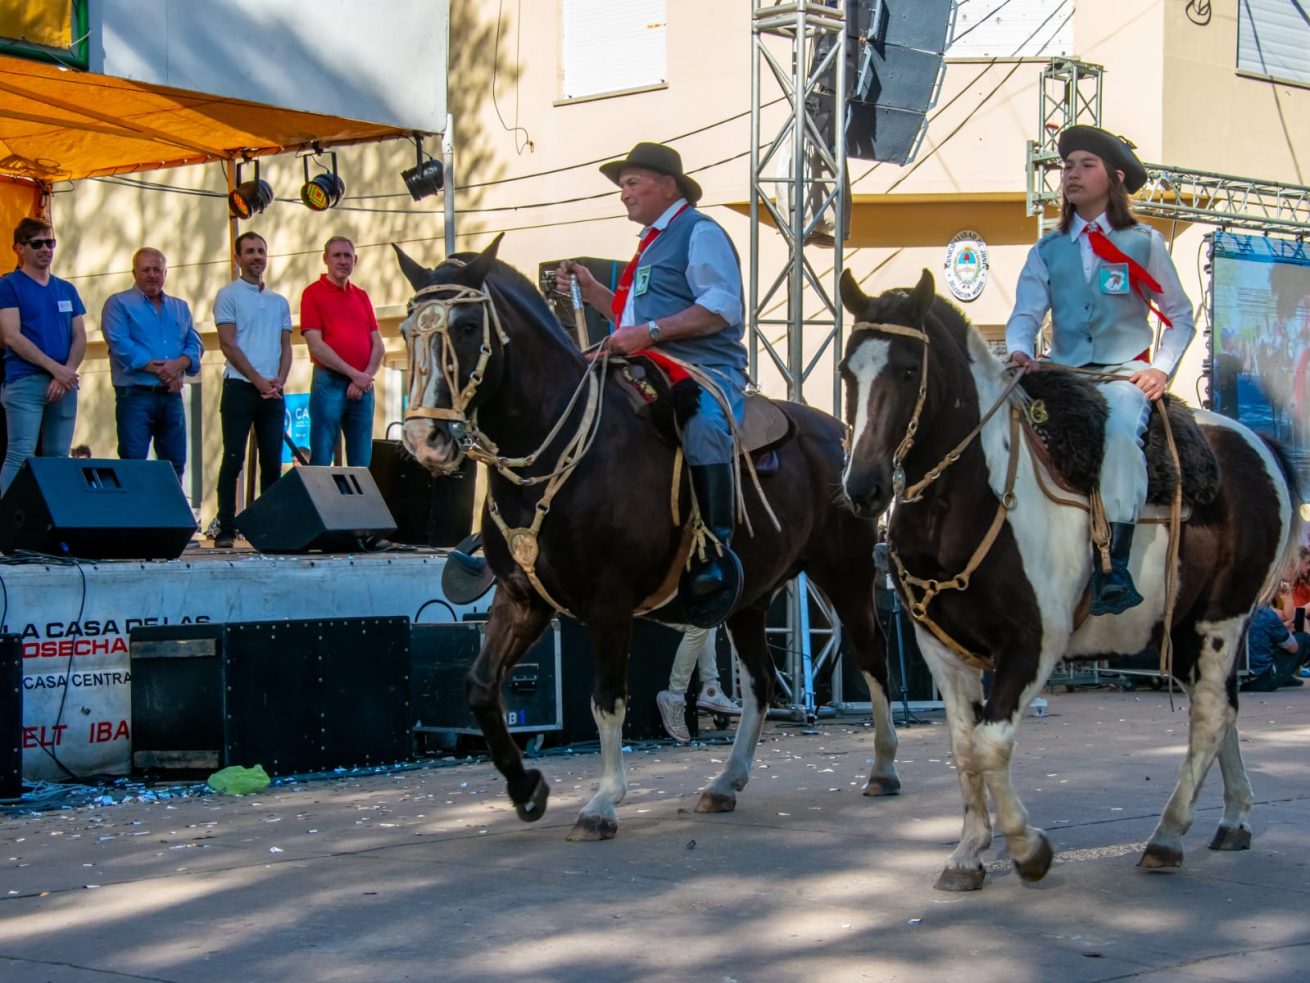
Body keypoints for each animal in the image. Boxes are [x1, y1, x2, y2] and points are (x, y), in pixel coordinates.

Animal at [387, 238, 901, 838]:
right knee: (761, 682)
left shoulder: (609, 601)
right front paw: (526, 787)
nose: (425, 438)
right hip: (749, 599)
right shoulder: (521, 598)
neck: (557, 448)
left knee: (873, 656)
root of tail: (843, 433)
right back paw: (726, 782)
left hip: (845, 574)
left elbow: (607, 698)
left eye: (468, 326)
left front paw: (603, 802)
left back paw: (884, 769)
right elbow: (480, 687)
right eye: (407, 331)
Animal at [838, 269, 1299, 891]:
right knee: (1222, 708)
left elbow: (989, 744)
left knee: (1208, 716)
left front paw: (1028, 848)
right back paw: (1232, 820)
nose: (863, 486)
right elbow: (963, 749)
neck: (971, 500)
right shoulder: (941, 650)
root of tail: (1257, 443)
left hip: (1221, 621)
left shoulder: (1035, 643)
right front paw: (968, 853)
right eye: (847, 370)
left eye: (910, 369)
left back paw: (1167, 836)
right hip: (1183, 630)